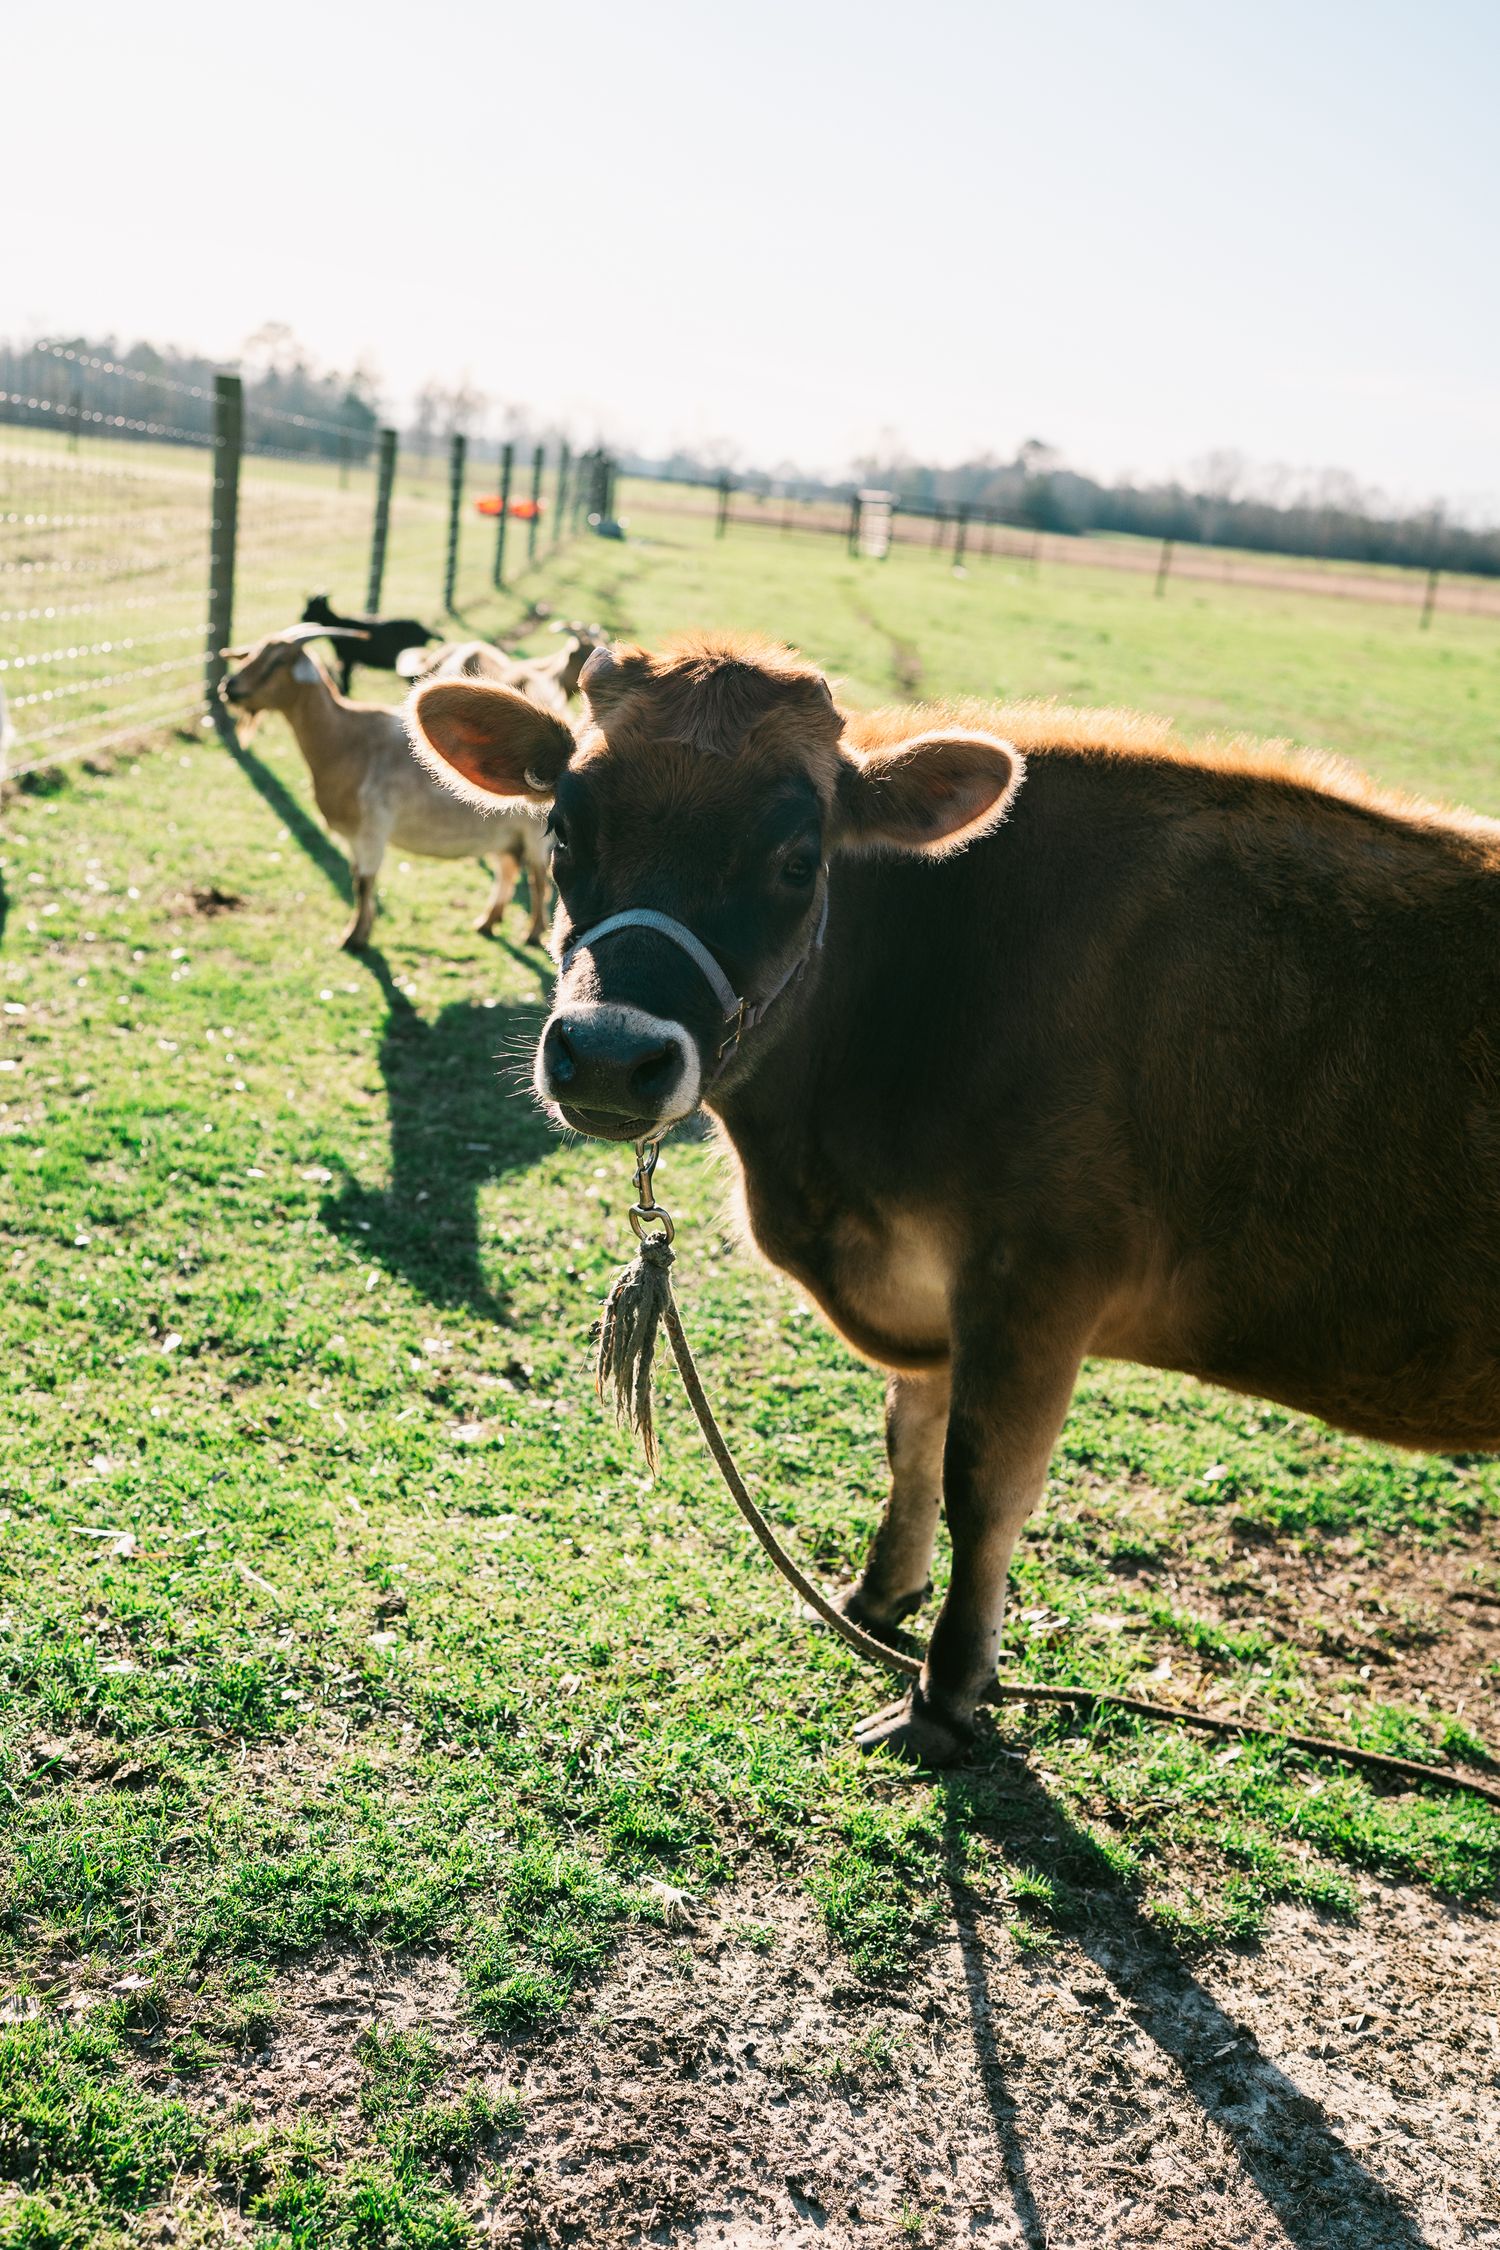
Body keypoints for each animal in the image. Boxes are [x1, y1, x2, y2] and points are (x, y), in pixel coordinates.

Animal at [406, 630, 1500, 1767]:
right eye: (564, 828)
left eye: (798, 861)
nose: (614, 1059)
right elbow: (911, 1442)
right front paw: (879, 1595)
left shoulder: (1039, 1279)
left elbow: (985, 1485)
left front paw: (945, 1691)